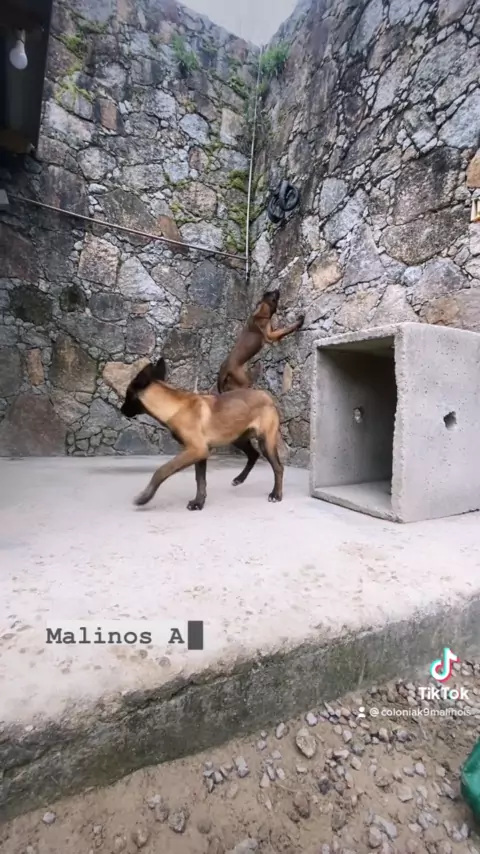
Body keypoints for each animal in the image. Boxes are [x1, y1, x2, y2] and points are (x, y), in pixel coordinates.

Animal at [120, 357, 284, 510]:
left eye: (127, 394)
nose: (121, 410)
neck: (174, 408)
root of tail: (266, 395)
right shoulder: (200, 454)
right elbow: (200, 480)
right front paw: (199, 502)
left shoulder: (196, 450)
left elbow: (162, 470)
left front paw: (144, 497)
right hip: (238, 438)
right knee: (253, 455)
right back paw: (240, 479)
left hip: (265, 442)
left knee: (278, 467)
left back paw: (276, 494)